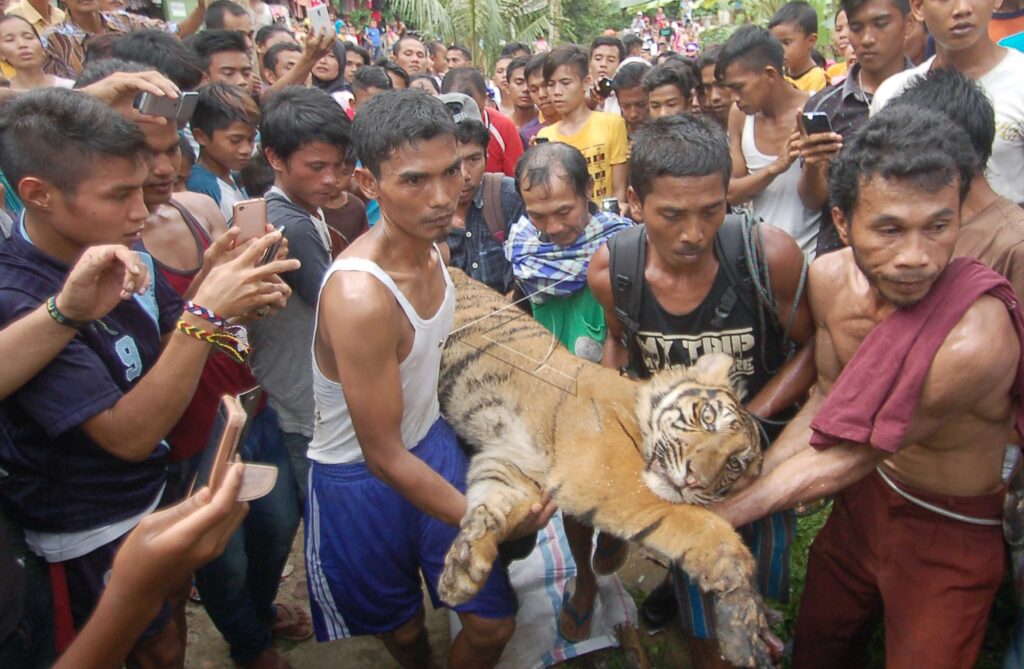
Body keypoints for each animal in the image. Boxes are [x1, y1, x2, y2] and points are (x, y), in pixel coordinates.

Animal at [436, 269, 773, 669]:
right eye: (708, 418)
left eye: (734, 465)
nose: (696, 479)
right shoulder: (609, 477)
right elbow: (701, 526)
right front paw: (746, 615)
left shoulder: (510, 467)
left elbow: (490, 508)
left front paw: (462, 570)